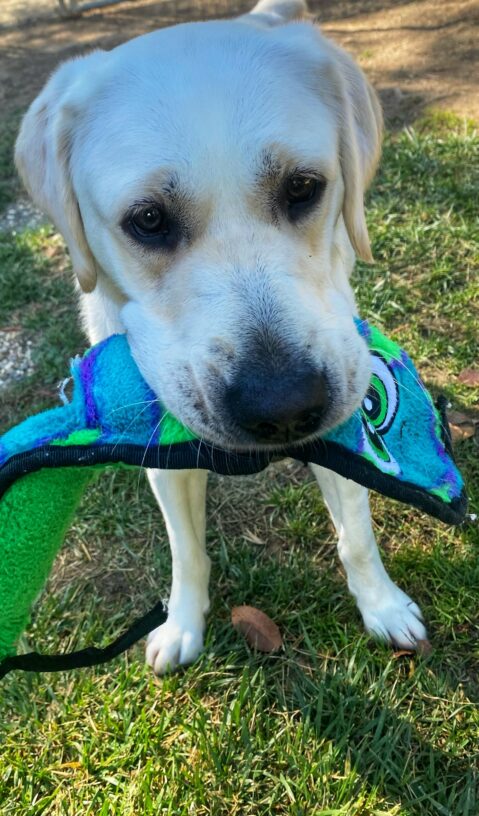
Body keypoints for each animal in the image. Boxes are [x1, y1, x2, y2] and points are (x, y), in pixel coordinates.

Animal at [15, 0, 428, 668]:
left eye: (303, 187)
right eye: (147, 220)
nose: (283, 406)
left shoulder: (345, 425)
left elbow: (358, 537)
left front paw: (383, 607)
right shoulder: (163, 458)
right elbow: (187, 553)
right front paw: (182, 625)